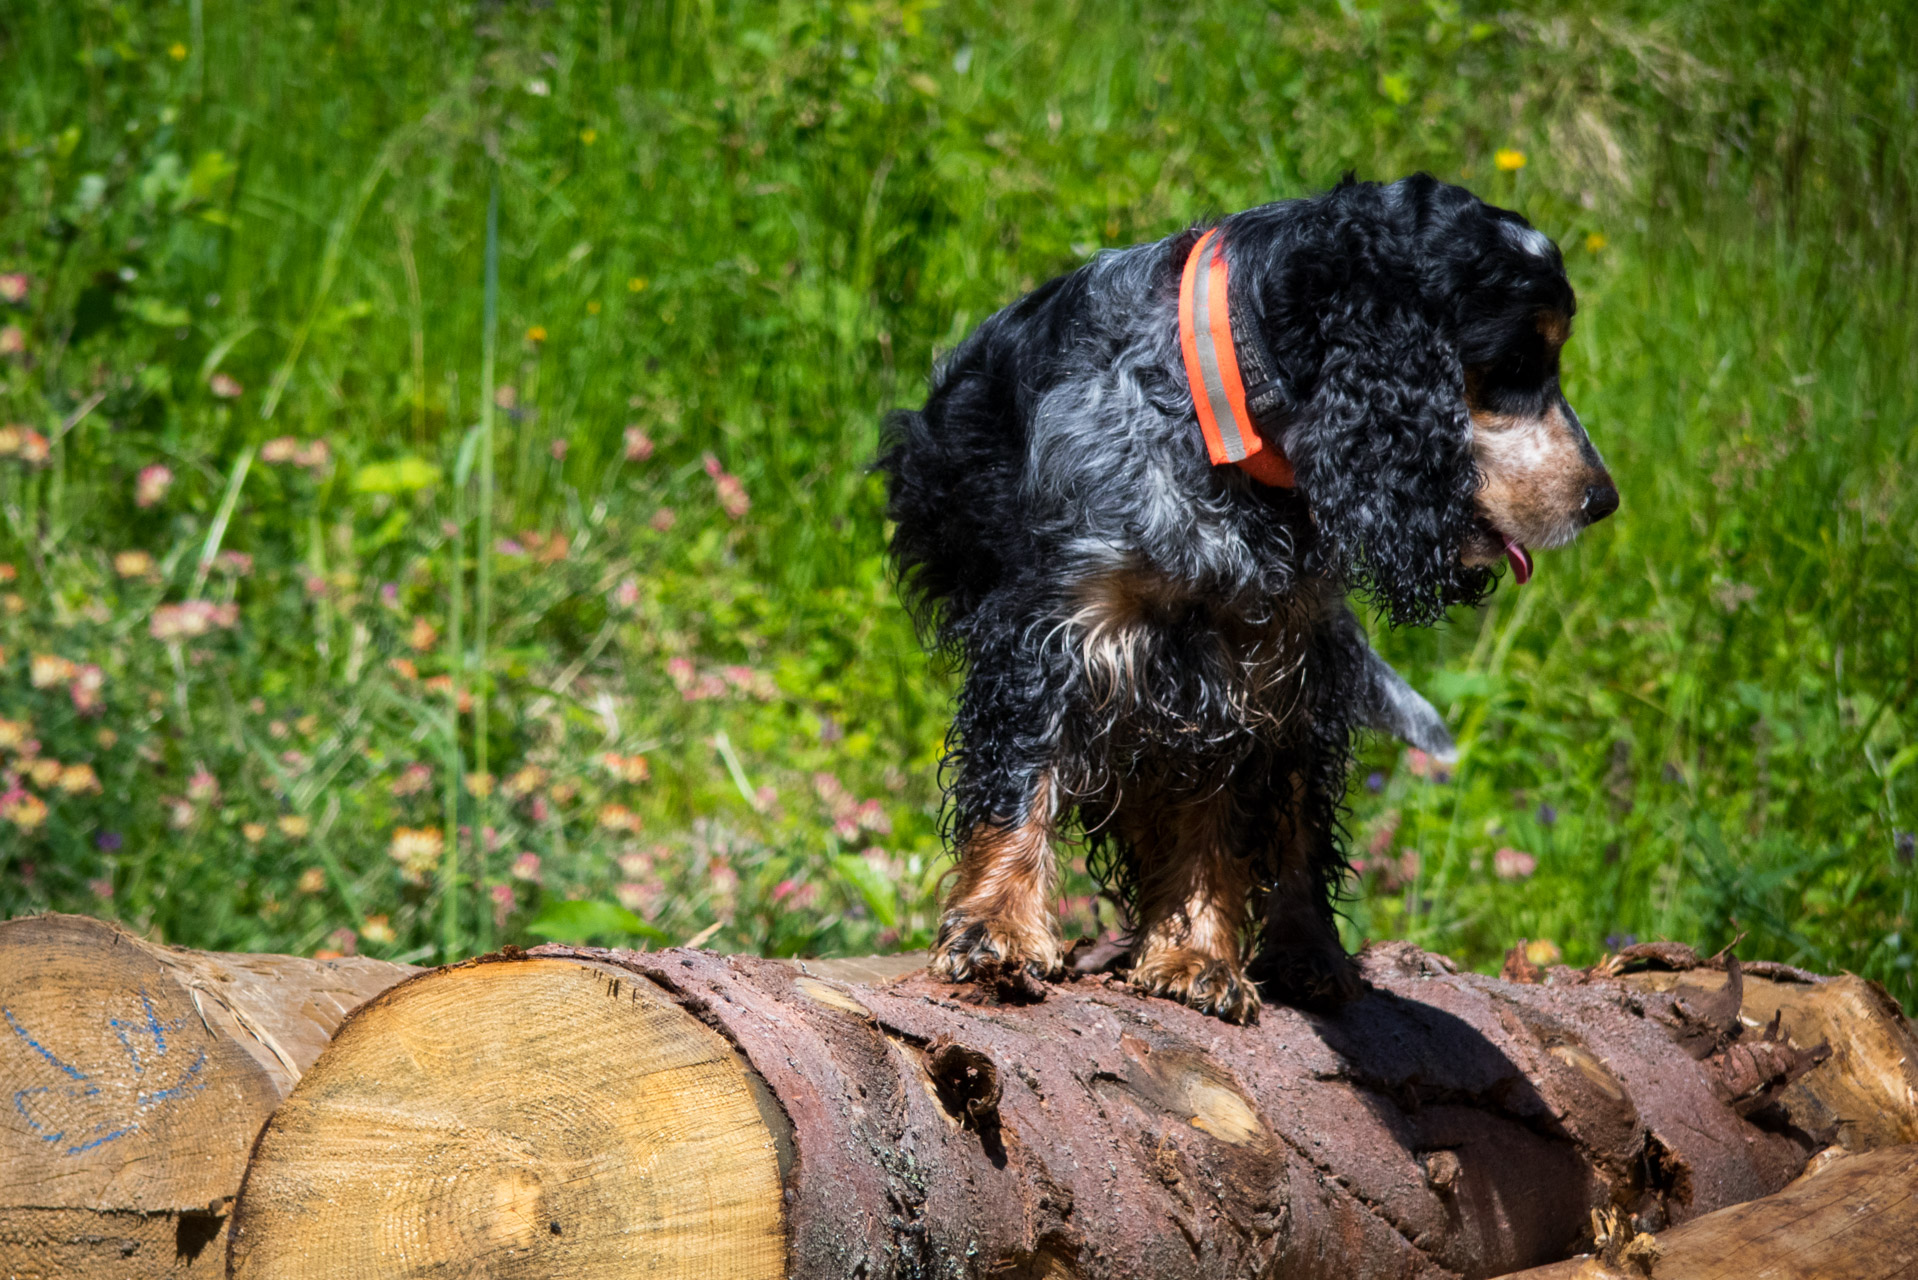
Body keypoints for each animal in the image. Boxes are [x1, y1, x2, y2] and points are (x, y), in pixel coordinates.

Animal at [882, 177, 1618, 1020]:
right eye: (1515, 361)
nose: (1603, 500)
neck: (1223, 429)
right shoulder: (1060, 629)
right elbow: (1020, 781)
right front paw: (998, 926)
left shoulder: (1250, 668)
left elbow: (1224, 821)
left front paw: (1196, 954)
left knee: (1294, 837)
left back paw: (1309, 954)